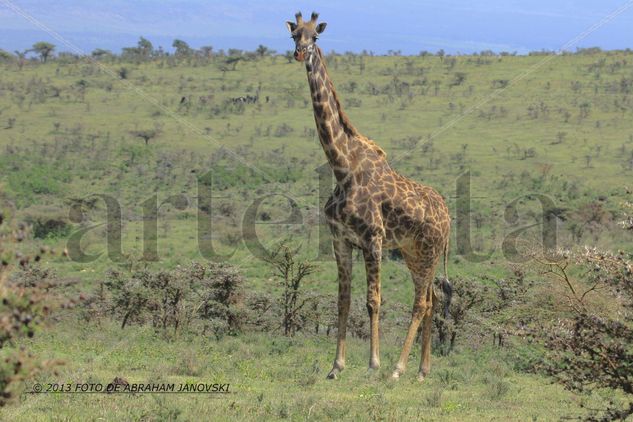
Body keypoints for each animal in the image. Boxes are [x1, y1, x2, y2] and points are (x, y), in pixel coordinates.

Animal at [286, 11, 450, 380]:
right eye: (293, 35)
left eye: (315, 37)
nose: (300, 54)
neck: (342, 166)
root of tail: (449, 218)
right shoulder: (341, 239)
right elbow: (343, 300)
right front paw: (336, 366)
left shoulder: (373, 239)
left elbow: (373, 301)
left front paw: (373, 364)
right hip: (412, 253)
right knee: (432, 299)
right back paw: (422, 370)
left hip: (429, 252)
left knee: (421, 301)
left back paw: (398, 369)